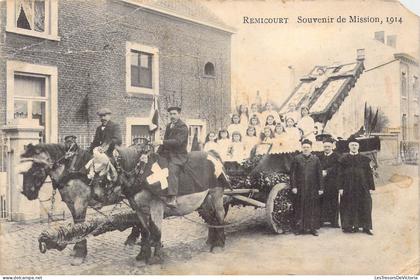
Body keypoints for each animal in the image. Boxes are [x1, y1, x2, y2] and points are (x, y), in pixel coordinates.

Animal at [90, 142, 231, 264]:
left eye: (106, 166)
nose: (95, 196)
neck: (140, 171)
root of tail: (212, 154)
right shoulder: (139, 209)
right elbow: (145, 231)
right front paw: (143, 255)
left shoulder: (156, 206)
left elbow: (156, 230)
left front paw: (157, 257)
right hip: (204, 202)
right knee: (211, 219)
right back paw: (211, 242)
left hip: (216, 195)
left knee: (219, 216)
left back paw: (219, 244)